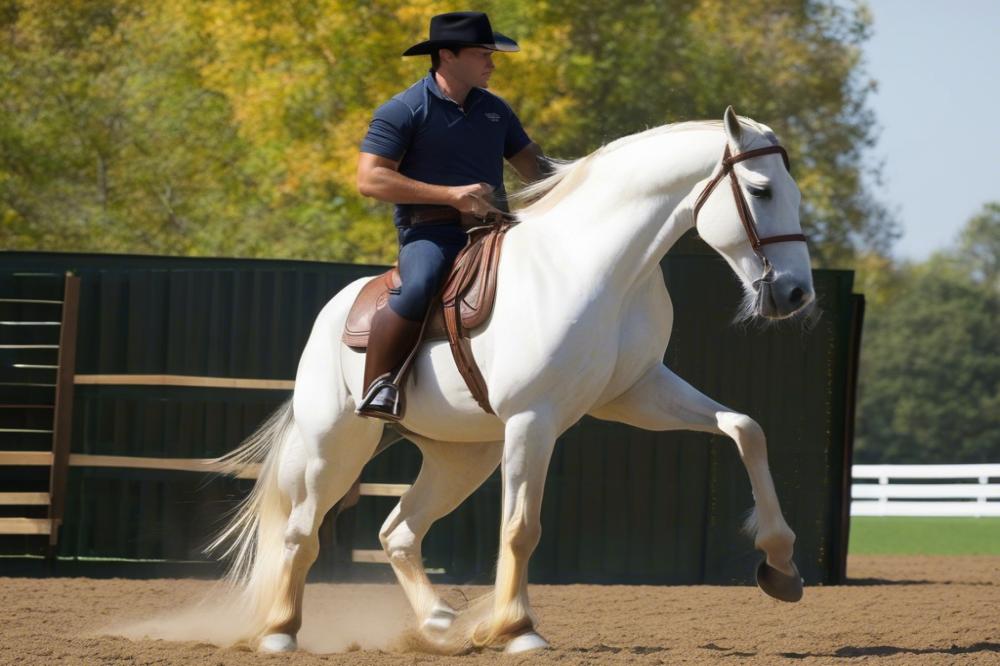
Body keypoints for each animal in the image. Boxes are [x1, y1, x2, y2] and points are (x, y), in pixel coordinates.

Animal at [211, 107, 812, 652]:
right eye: (761, 190)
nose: (796, 293)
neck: (595, 267)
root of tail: (332, 316)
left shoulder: (637, 394)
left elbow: (745, 428)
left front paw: (781, 565)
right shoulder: (533, 419)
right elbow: (521, 528)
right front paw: (518, 629)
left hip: (460, 458)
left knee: (398, 532)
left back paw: (440, 625)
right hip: (336, 448)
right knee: (301, 533)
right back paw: (280, 633)